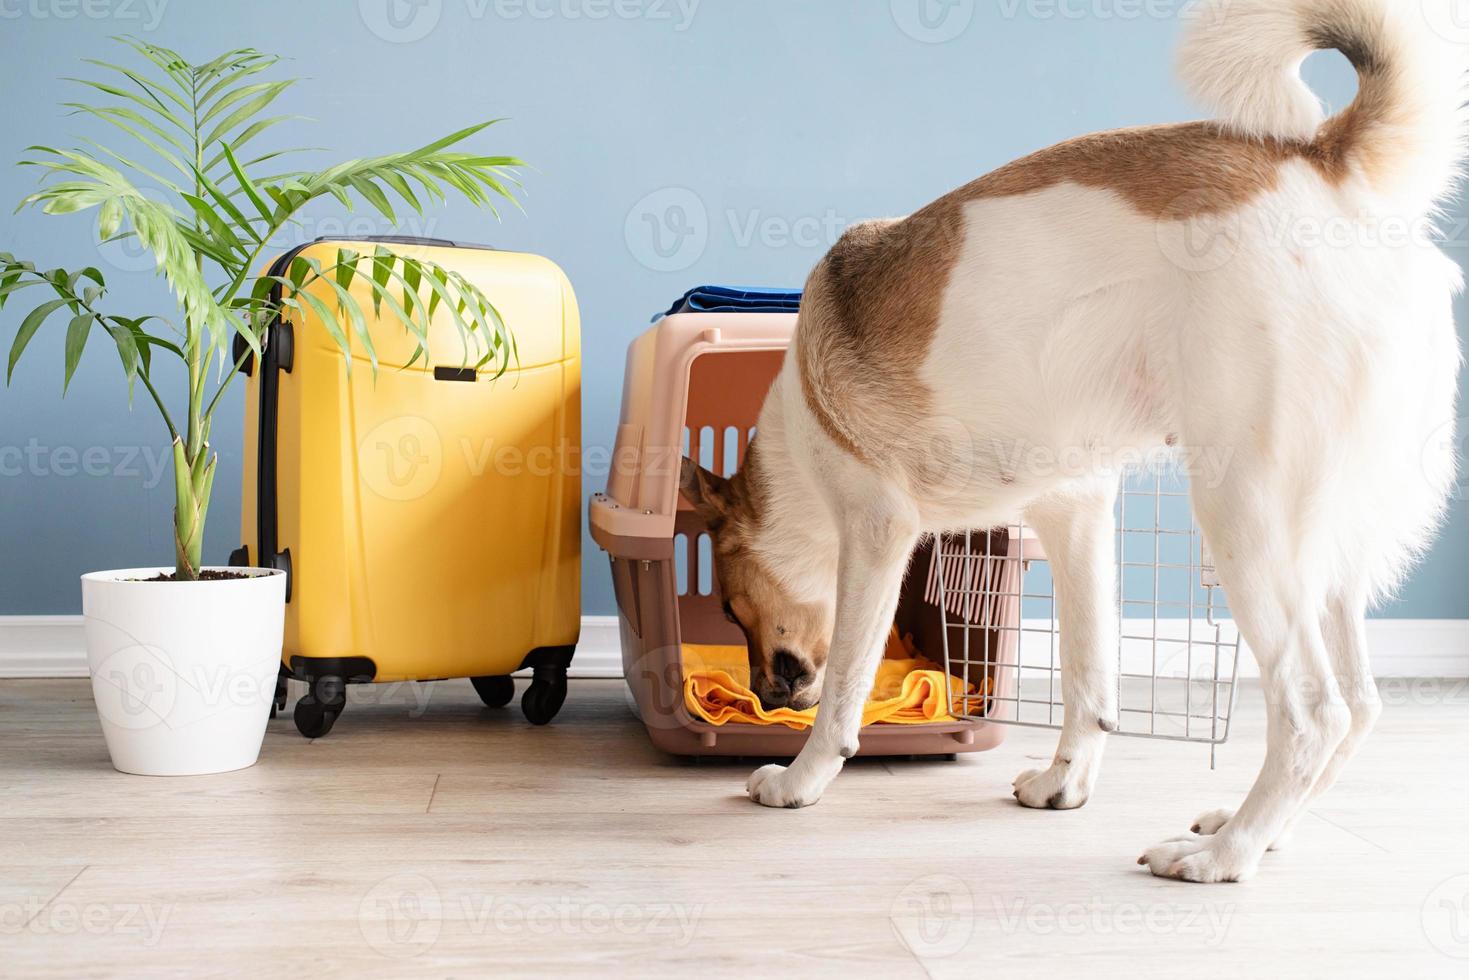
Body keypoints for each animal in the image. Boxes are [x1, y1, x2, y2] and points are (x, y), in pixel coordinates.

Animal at [681, 0, 1463, 887]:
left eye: (729, 606)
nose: (763, 698)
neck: (798, 432)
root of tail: (1328, 164)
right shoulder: (1079, 516)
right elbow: (1089, 678)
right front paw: (1065, 784)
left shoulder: (877, 534)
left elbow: (846, 682)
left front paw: (801, 779)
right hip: (1322, 551)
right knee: (1359, 705)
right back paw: (1258, 830)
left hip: (1246, 520)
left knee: (1312, 712)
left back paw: (1222, 854)